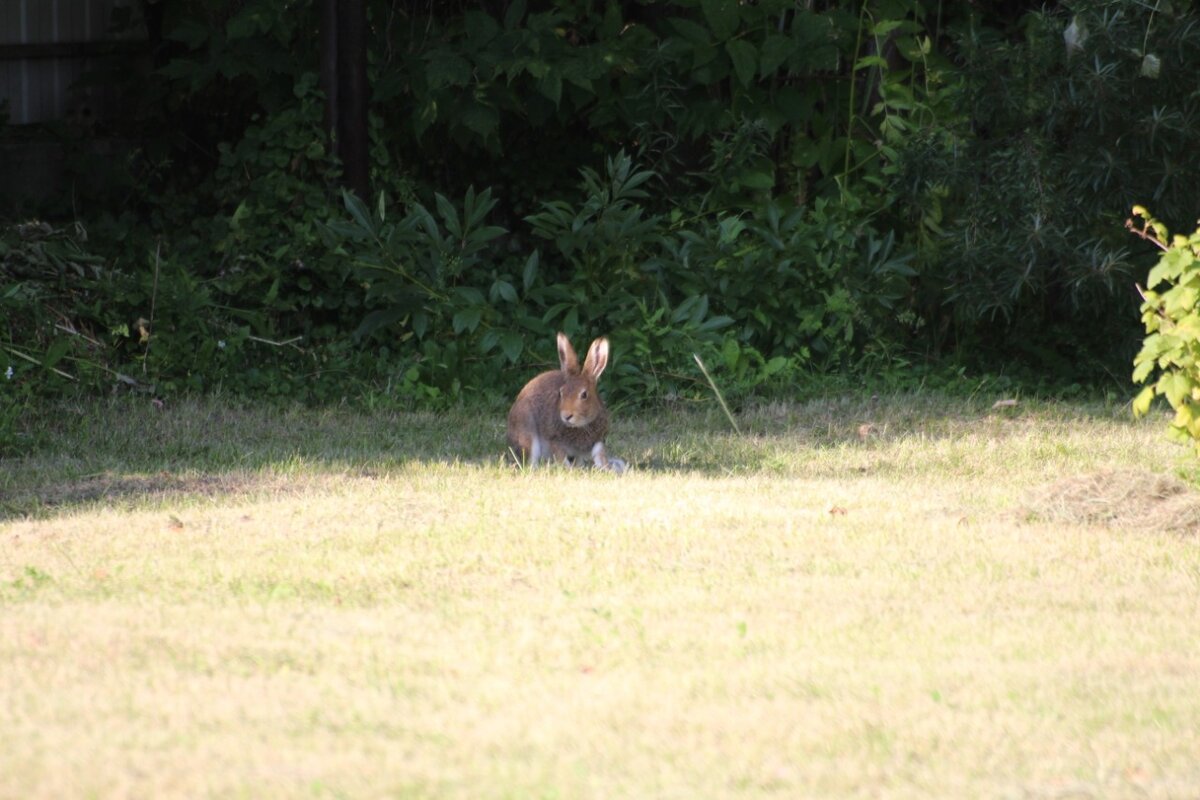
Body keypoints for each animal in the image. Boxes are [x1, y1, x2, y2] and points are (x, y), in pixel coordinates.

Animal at [506, 331, 628, 470]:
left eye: (584, 395)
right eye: (561, 393)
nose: (566, 416)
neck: (581, 426)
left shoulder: (597, 442)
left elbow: (600, 455)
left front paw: (607, 468)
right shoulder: (555, 441)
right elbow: (561, 458)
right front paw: (570, 470)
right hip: (527, 430)